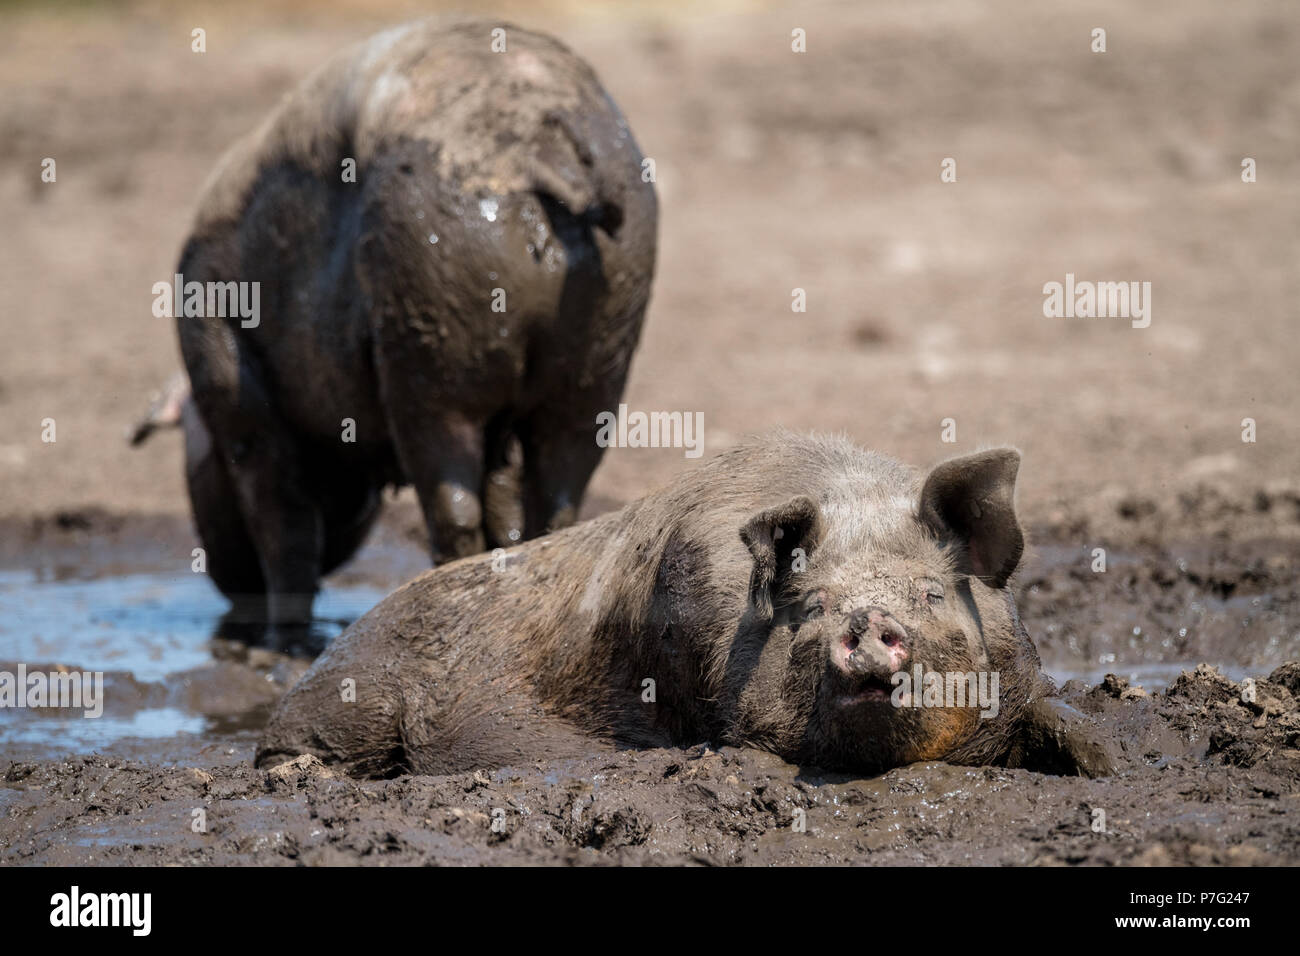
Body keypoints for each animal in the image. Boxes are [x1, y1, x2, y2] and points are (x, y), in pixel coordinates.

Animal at [161, 20, 655, 642]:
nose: (226, 577)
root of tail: (540, 145)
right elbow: (504, 500)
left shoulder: (224, 362)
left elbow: (283, 518)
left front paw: (282, 643)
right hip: (606, 343)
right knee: (555, 496)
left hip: (430, 340)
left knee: (451, 502)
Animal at [256, 437, 1118, 780]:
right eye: (810, 604)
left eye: (933, 592)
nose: (867, 621)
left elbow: (1061, 722)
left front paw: (1107, 762)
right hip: (351, 693)